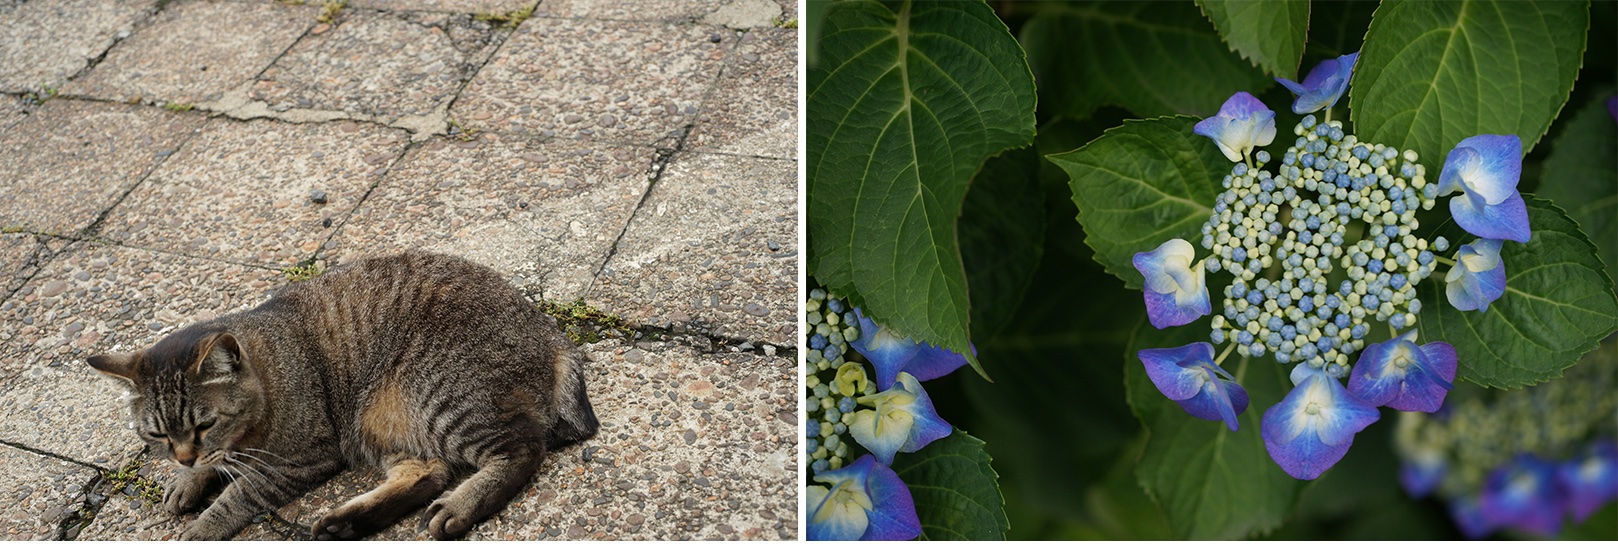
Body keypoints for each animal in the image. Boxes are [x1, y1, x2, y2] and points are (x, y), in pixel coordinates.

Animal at [83, 252, 601, 541]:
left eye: (203, 423)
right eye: (157, 436)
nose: (184, 457)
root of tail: (551, 335)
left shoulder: (300, 459)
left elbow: (239, 494)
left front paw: (204, 522)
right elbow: (223, 465)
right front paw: (190, 477)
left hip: (439, 396)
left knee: (522, 449)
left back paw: (458, 506)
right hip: (382, 420)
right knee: (428, 472)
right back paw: (346, 523)